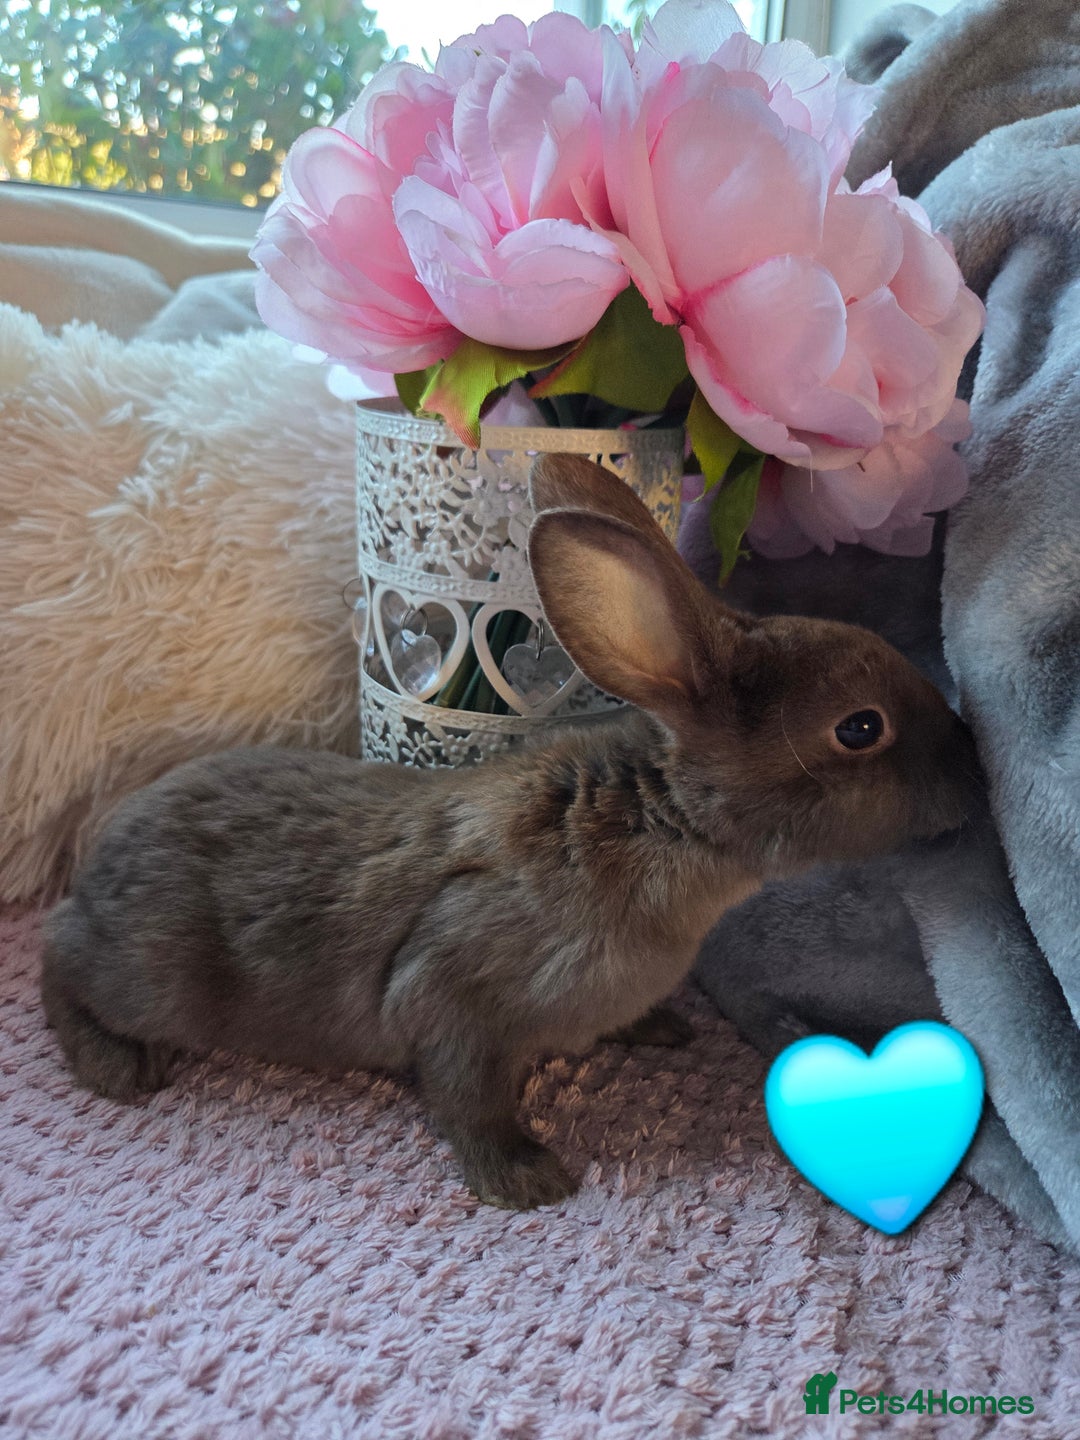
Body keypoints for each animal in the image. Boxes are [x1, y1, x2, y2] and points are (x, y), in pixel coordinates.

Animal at [40, 453, 981, 1211]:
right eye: (859, 729)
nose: (974, 768)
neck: (660, 818)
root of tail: (98, 865)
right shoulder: (454, 997)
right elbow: (469, 1097)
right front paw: (528, 1181)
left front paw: (656, 1030)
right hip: (153, 978)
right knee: (59, 965)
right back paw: (117, 1068)